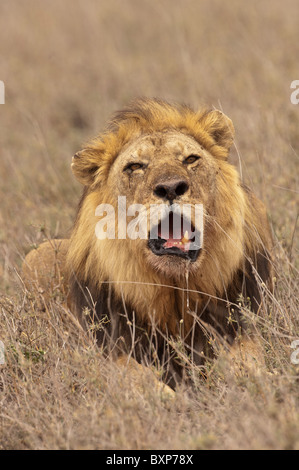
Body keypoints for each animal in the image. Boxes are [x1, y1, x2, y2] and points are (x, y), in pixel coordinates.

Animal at [22, 98, 274, 390]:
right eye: (135, 166)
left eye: (190, 159)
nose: (171, 188)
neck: (174, 287)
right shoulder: (108, 349)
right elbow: (135, 376)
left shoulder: (239, 327)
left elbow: (249, 362)